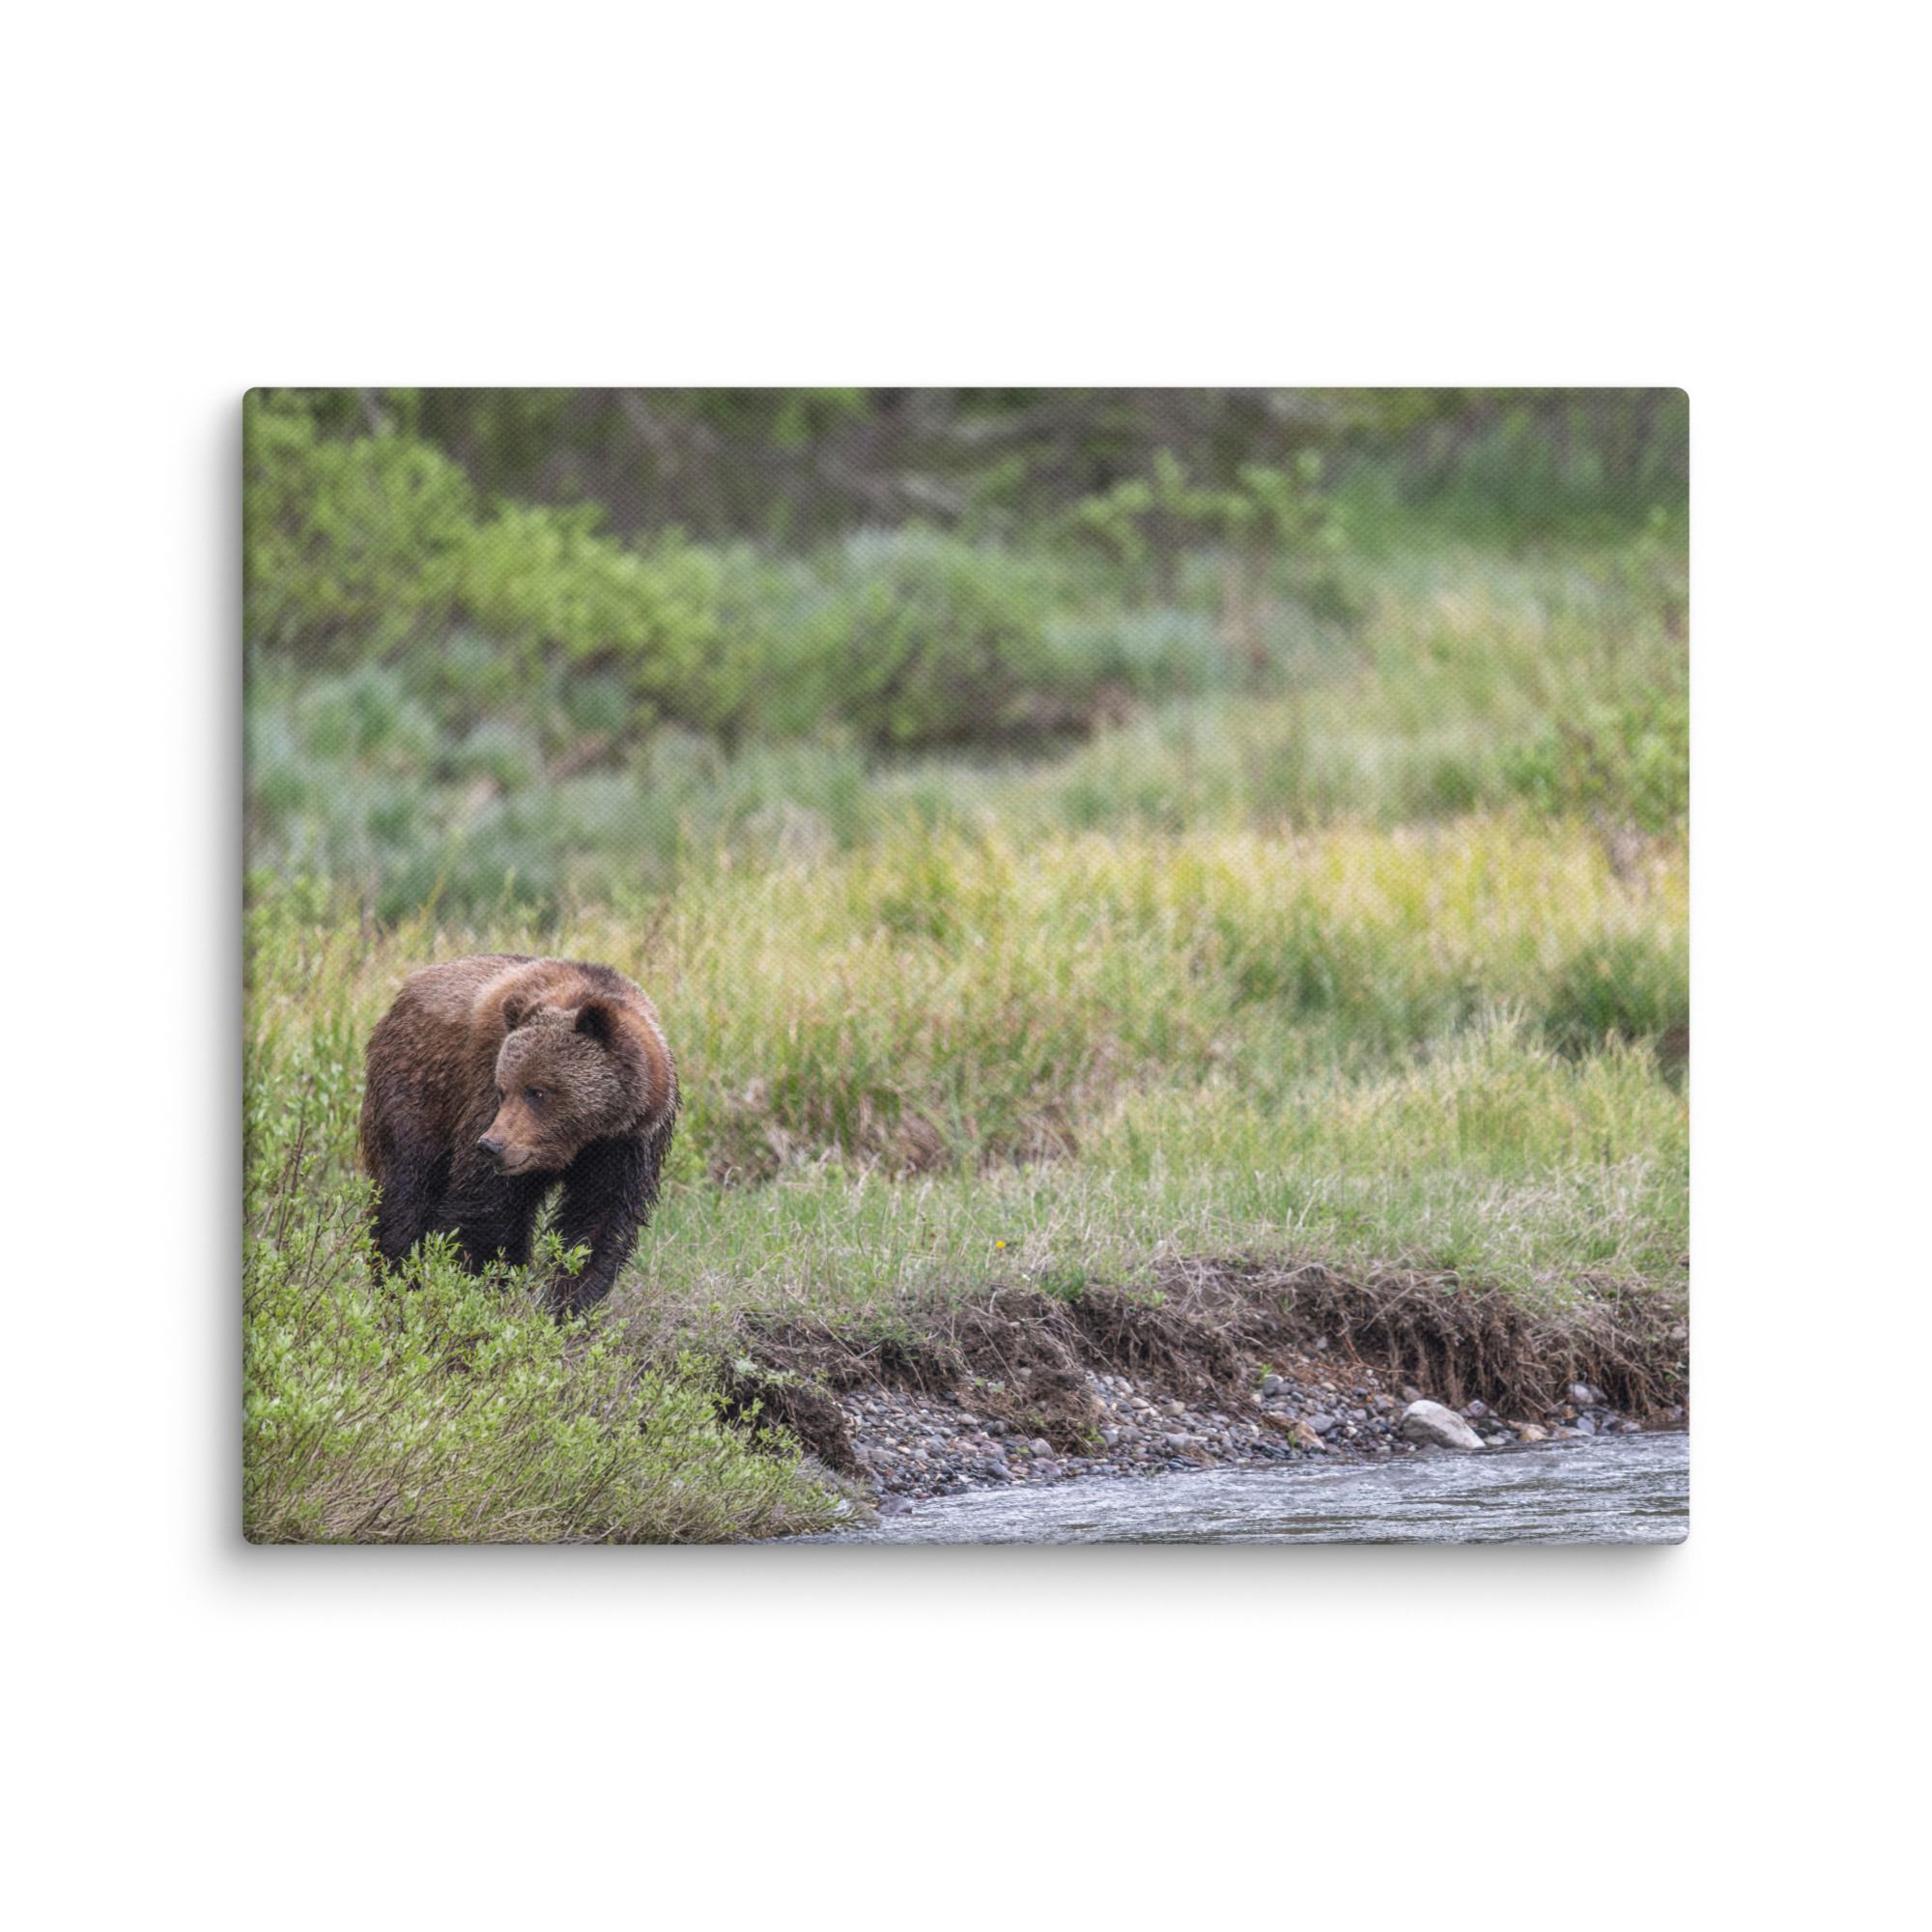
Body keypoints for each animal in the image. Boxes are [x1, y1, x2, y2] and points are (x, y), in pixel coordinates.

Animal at [358, 954, 678, 1315]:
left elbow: (598, 1222)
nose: (491, 1146)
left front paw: (568, 1304)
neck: (583, 1137)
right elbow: (487, 1211)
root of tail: (406, 990)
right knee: (406, 1190)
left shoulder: (626, 1144)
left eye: (537, 1092)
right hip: (418, 1089)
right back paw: (397, 1284)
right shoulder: (483, 1095)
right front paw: (480, 1288)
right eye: (503, 1089)